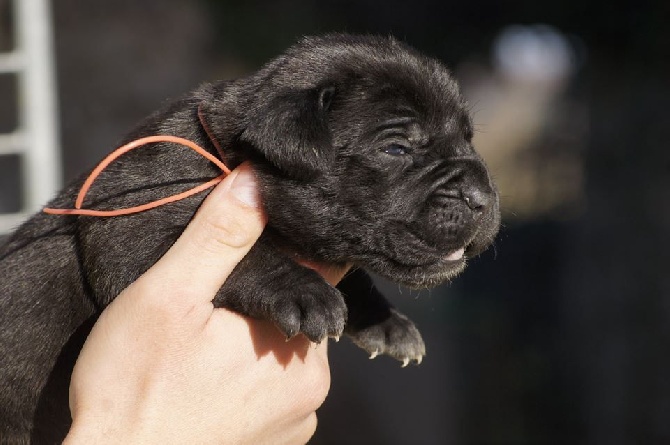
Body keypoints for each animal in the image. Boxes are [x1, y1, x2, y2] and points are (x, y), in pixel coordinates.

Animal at [0, 33, 498, 440]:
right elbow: (252, 256)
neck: (233, 150)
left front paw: (386, 321)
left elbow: (352, 273)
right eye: (396, 148)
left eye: (468, 139)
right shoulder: (134, 223)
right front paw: (301, 290)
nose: (483, 197)